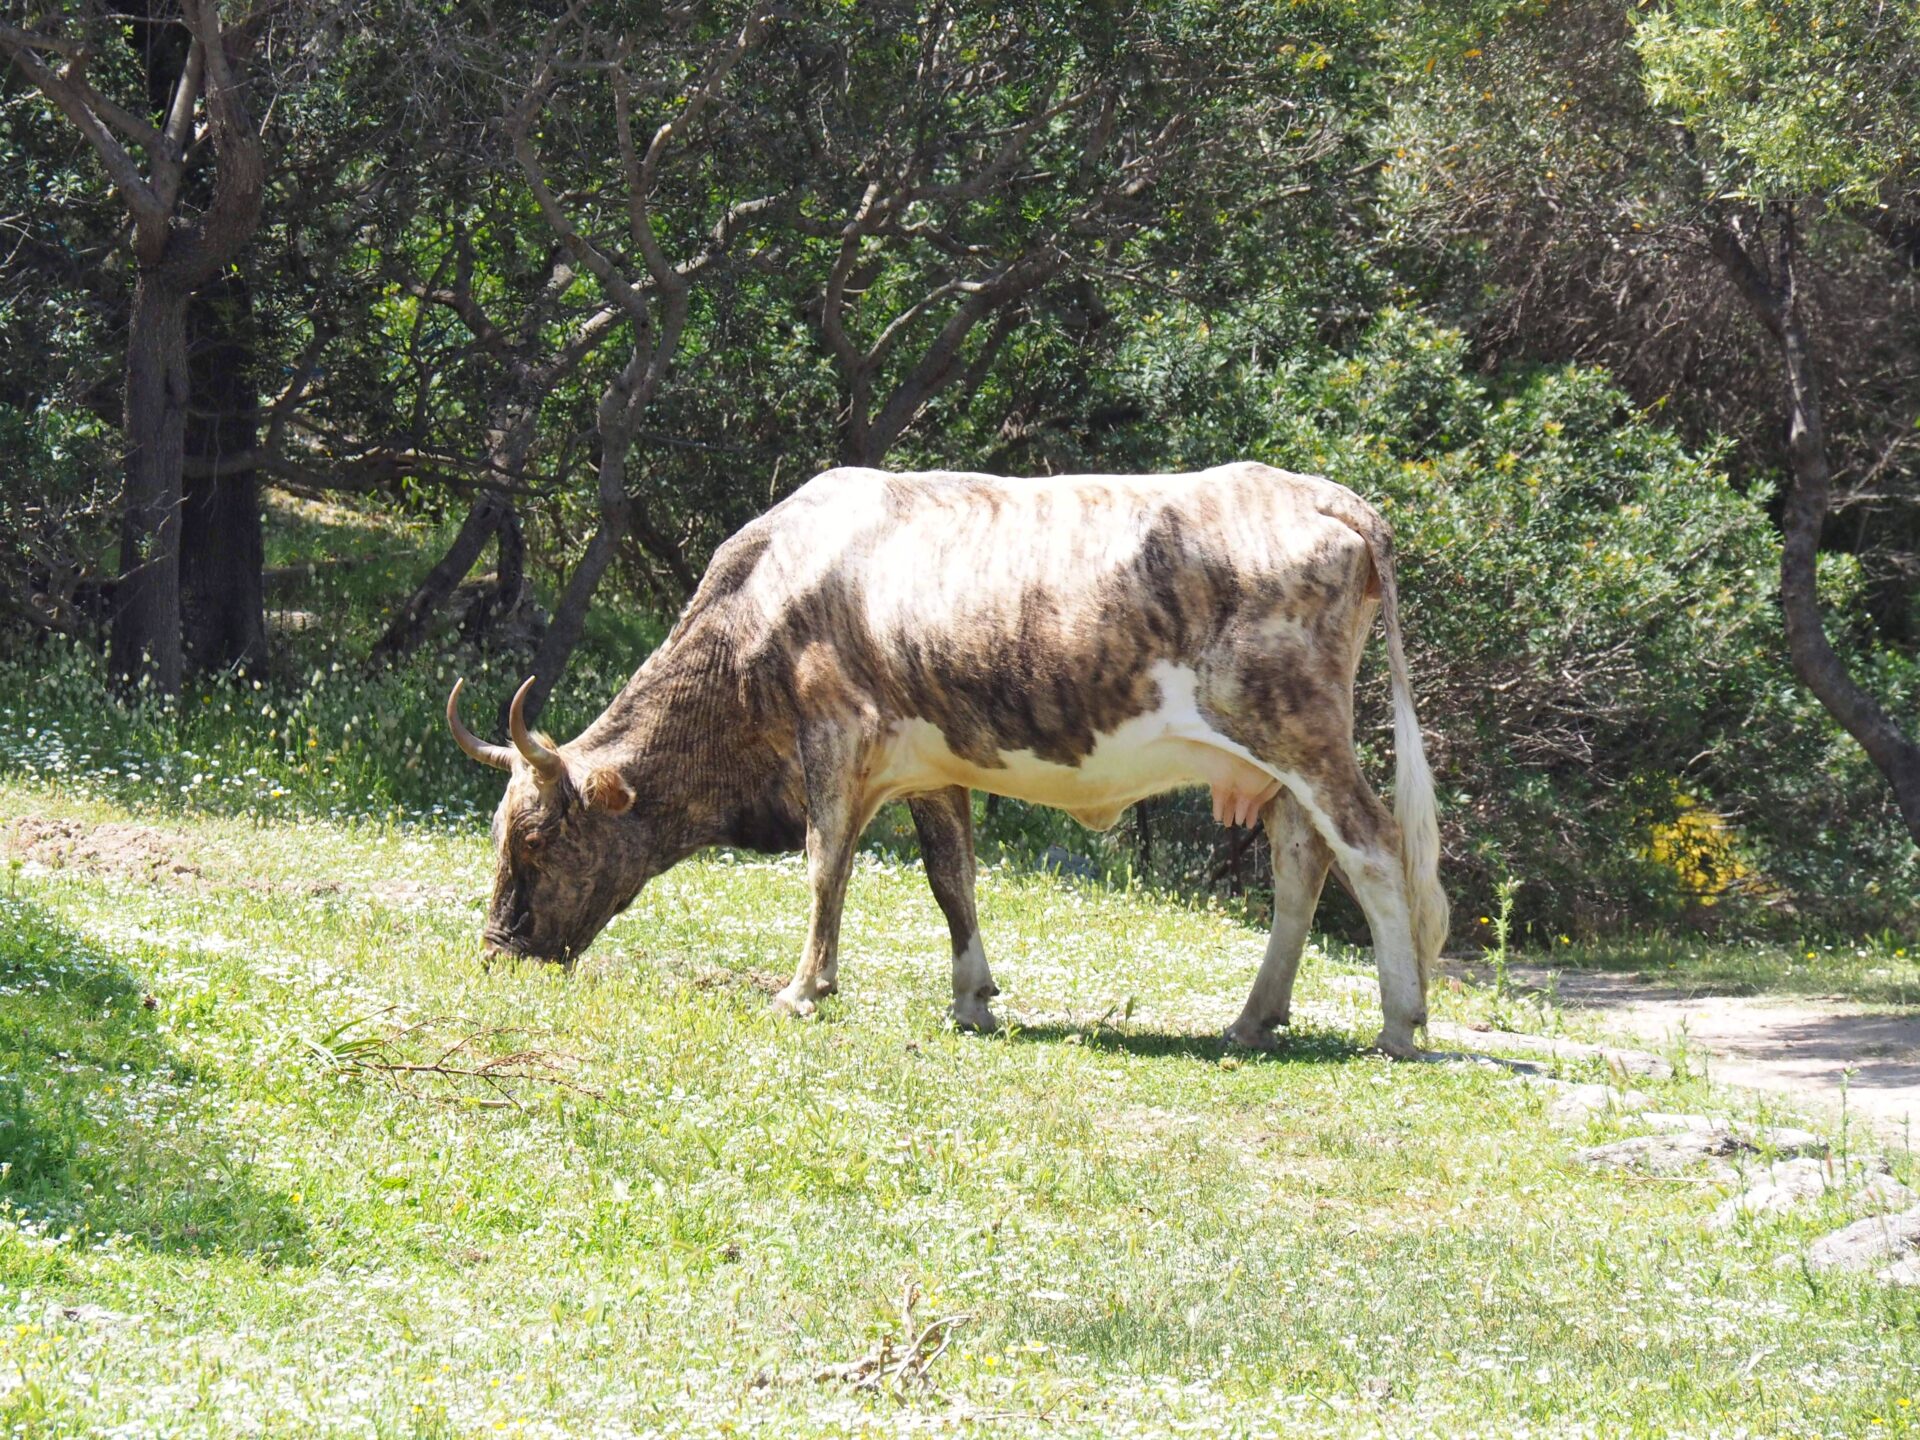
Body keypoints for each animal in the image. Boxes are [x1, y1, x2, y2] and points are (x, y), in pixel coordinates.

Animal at [445, 468, 1443, 1052]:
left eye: (535, 841)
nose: (496, 951)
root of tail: (1321, 493)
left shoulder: (833, 737)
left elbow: (826, 867)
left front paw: (802, 990)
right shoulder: (932, 769)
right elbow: (950, 879)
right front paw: (973, 999)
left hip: (1298, 732)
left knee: (1371, 848)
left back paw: (1400, 1021)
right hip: (1273, 760)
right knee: (1301, 863)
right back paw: (1251, 1018)